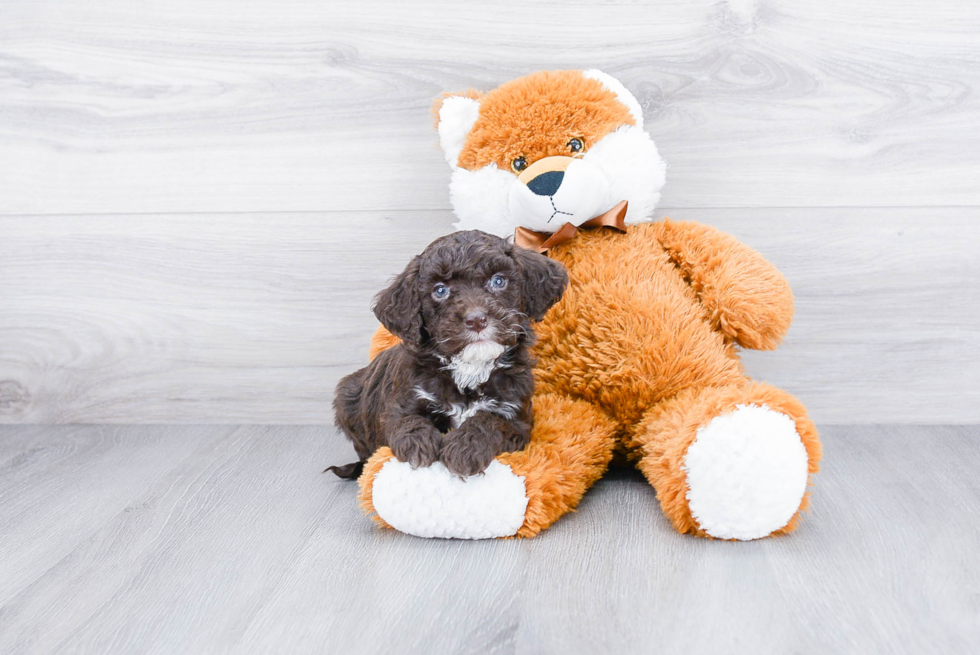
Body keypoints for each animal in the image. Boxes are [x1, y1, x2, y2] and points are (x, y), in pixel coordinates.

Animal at [328, 229, 568, 476]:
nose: (476, 320)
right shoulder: (401, 401)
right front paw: (418, 444)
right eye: (440, 290)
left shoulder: (517, 417)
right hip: (348, 397)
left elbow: (490, 420)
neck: (469, 368)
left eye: (498, 281)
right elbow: (405, 420)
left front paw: (465, 447)